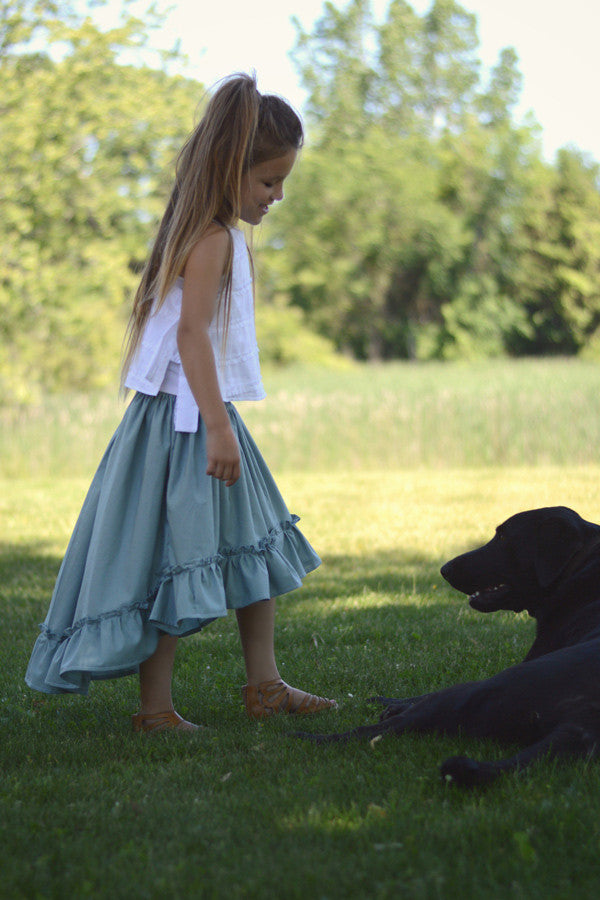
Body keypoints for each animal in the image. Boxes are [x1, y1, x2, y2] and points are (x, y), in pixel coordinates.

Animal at [300, 506, 600, 788]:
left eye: (503, 536)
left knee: (375, 729)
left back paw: (303, 737)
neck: (582, 567)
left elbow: (416, 697)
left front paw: (390, 702)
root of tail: (585, 723)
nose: (444, 569)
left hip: (480, 688)